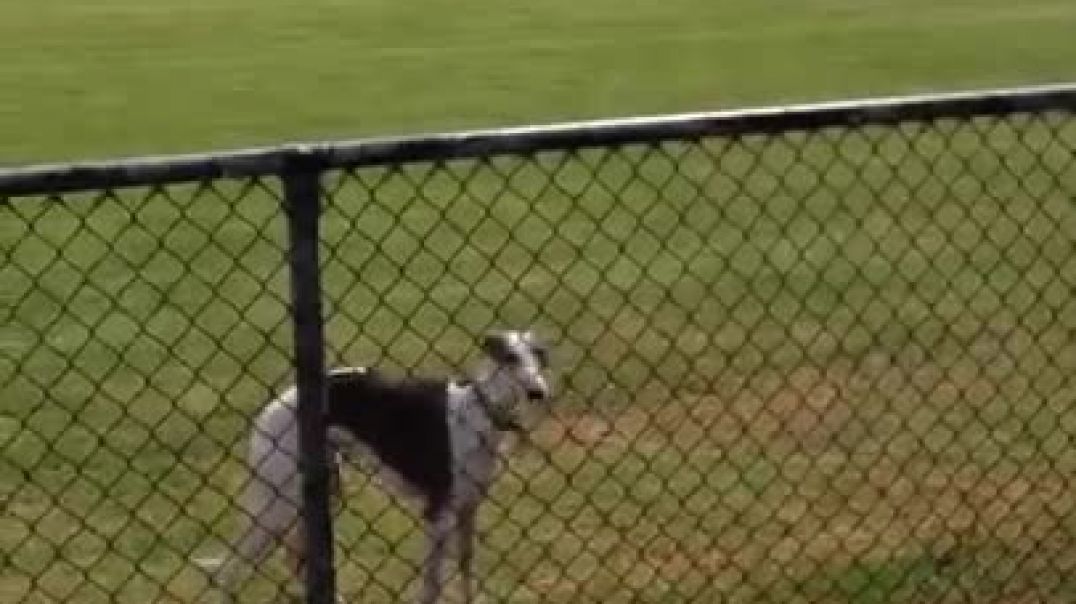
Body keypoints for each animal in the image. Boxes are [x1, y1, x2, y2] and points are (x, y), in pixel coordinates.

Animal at [201, 331, 550, 598]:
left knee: (292, 560)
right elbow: (432, 587)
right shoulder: (438, 514)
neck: (480, 410)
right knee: (230, 572)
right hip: (277, 503)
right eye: (510, 358)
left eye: (538, 358)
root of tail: (269, 409)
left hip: (317, 493)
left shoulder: (468, 508)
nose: (538, 392)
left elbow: (466, 571)